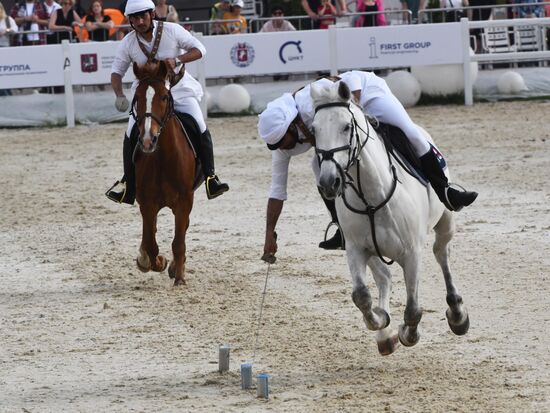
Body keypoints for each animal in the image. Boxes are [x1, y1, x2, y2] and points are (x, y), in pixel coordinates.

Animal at [132, 61, 196, 284]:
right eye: (137, 97)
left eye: (164, 97)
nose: (147, 140)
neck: (163, 160)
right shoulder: (147, 203)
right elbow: (151, 243)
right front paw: (155, 261)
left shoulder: (184, 201)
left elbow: (178, 241)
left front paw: (179, 277)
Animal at [312, 80, 472, 354]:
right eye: (314, 130)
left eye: (346, 126)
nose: (328, 182)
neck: (371, 196)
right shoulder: (356, 248)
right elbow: (361, 296)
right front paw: (380, 320)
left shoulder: (412, 253)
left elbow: (413, 309)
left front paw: (409, 334)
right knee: (384, 276)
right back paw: (385, 335)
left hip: (445, 222)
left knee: (442, 254)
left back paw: (457, 315)